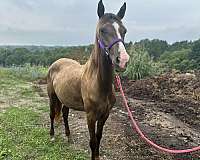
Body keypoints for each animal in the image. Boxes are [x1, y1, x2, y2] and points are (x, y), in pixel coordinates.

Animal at [47, 0, 130, 159]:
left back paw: (68, 137)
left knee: (65, 114)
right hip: (52, 96)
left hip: (66, 98)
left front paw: (97, 156)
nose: (122, 60)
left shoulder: (104, 115)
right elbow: (92, 141)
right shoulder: (90, 116)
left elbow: (98, 138)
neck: (98, 83)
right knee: (52, 114)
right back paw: (52, 136)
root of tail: (56, 62)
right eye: (102, 30)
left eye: (124, 31)